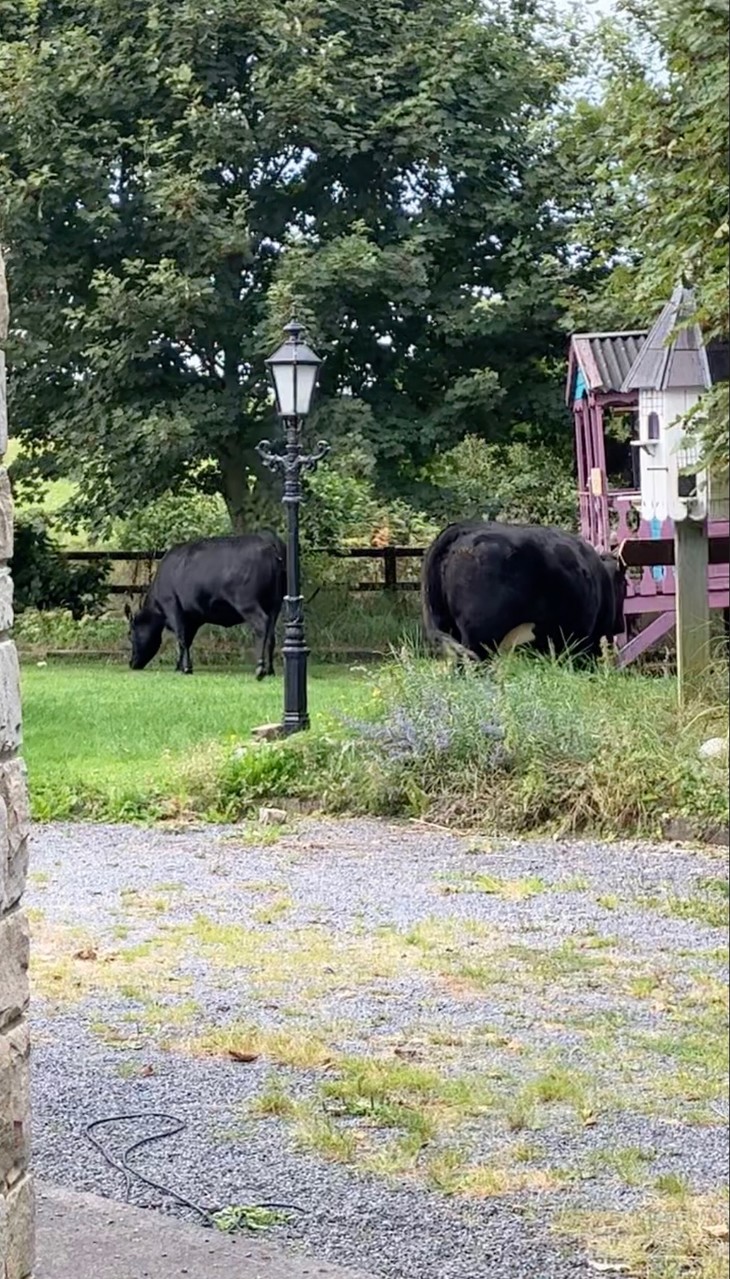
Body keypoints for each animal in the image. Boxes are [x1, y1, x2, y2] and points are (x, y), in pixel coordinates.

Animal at [125, 529, 285, 675]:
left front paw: (186, 668)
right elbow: (187, 640)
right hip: (275, 605)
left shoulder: (172, 606)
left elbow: (181, 637)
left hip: (248, 603)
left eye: (130, 634)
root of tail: (268, 539)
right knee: (271, 635)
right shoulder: (194, 617)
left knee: (262, 625)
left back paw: (260, 668)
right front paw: (179, 666)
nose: (131, 663)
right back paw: (270, 670)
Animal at [421, 519, 629, 665]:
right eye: (625, 585)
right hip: (479, 637)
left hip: (449, 628)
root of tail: (465, 528)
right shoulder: (581, 639)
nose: (620, 625)